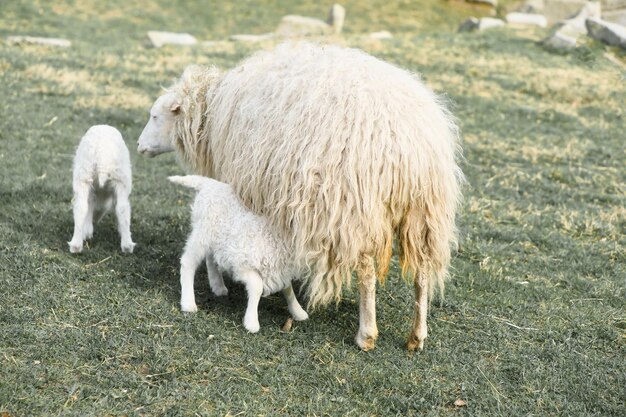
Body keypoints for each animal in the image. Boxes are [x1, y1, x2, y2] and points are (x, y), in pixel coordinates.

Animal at [68, 124, 135, 254]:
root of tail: (102, 154)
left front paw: (87, 231)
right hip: (121, 177)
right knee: (122, 208)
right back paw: (127, 246)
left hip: (84, 174)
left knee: (81, 207)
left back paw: (76, 245)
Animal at [169, 173, 308, 332]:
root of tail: (208, 184)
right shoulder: (242, 264)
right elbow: (257, 286)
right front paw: (251, 322)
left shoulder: (279, 269)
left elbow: (288, 289)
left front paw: (298, 312)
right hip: (202, 232)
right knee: (188, 262)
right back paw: (188, 303)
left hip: (216, 239)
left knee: (211, 259)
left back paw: (218, 286)